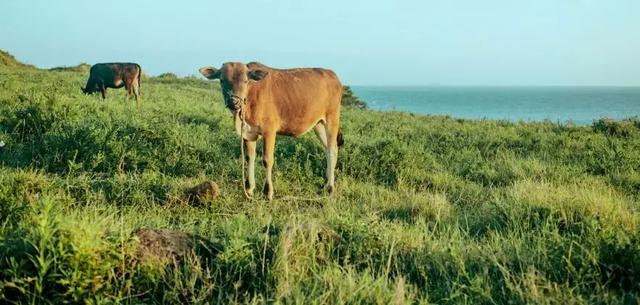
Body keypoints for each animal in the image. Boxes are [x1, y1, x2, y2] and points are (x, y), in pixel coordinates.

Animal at [200, 61, 342, 200]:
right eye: (222, 80)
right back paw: (326, 181)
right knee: (331, 148)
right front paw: (249, 188)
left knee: (331, 150)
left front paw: (267, 192)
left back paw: (330, 188)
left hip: (332, 119)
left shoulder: (269, 131)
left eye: (245, 81)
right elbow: (249, 157)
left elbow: (267, 160)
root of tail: (332, 74)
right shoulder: (248, 132)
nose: (234, 102)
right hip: (318, 124)